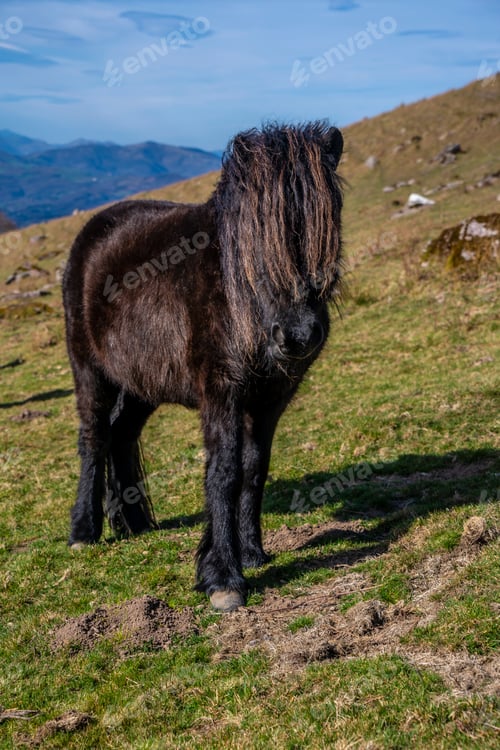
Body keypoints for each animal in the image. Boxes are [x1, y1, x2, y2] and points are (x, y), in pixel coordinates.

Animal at [63, 121, 344, 611]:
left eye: (326, 221)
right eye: (254, 233)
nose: (298, 336)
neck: (237, 298)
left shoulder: (268, 401)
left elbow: (254, 468)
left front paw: (251, 553)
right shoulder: (221, 393)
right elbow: (224, 471)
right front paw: (223, 577)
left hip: (141, 385)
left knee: (121, 435)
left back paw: (135, 523)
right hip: (90, 372)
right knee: (94, 438)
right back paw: (84, 531)